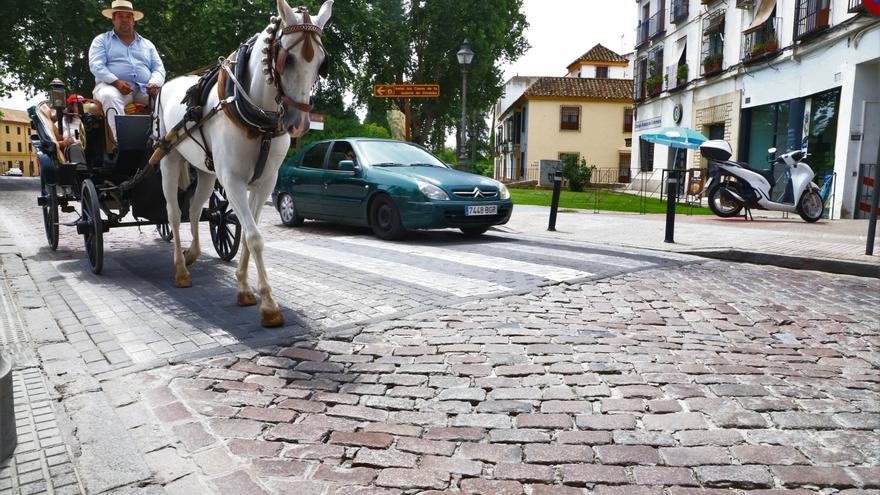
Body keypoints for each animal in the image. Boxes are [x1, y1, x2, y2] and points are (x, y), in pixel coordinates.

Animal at [155, 0, 334, 330]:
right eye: (286, 59)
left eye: (321, 62)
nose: (299, 123)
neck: (258, 118)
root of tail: (166, 86)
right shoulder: (232, 180)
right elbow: (254, 236)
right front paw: (269, 305)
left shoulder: (264, 182)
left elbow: (249, 236)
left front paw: (243, 288)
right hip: (169, 160)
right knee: (173, 214)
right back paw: (181, 270)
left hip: (206, 172)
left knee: (195, 208)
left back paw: (192, 253)